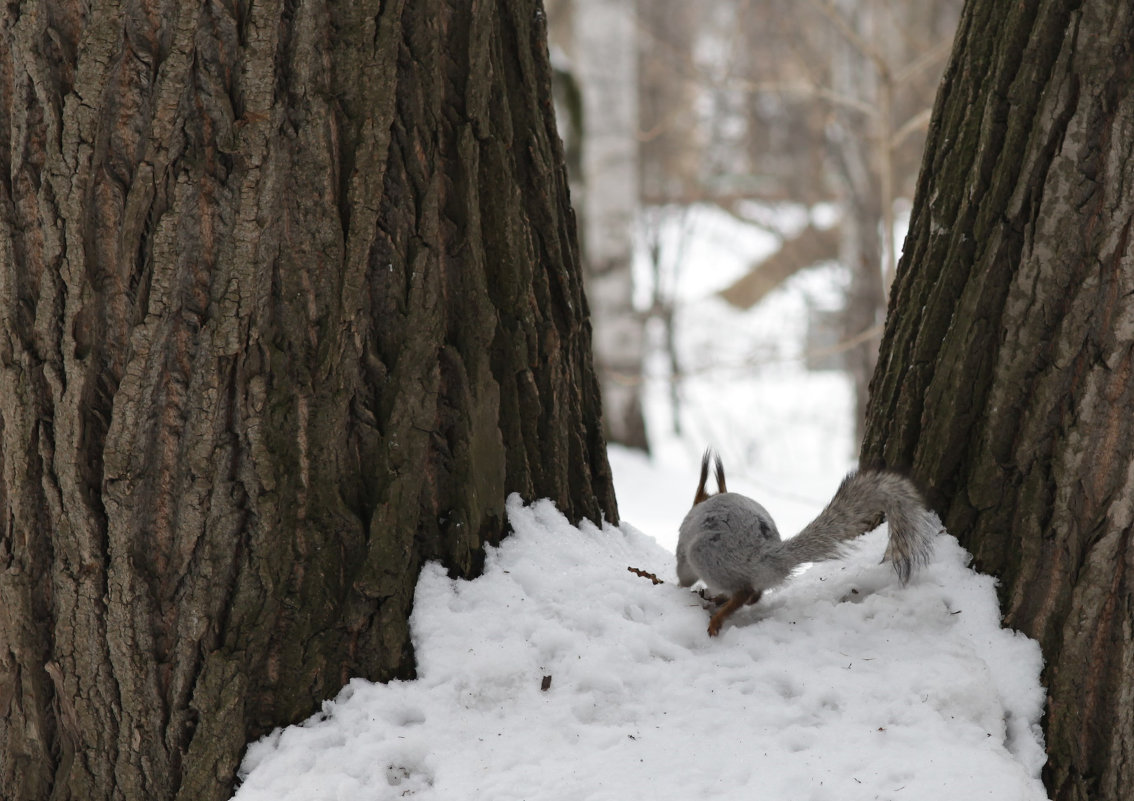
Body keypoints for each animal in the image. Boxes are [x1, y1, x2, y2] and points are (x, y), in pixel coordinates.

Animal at [671, 449, 938, 635]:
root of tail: (767, 554)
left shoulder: (684, 553)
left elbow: (683, 575)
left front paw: (677, 588)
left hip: (705, 556)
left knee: (745, 592)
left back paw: (718, 616)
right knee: (755, 594)